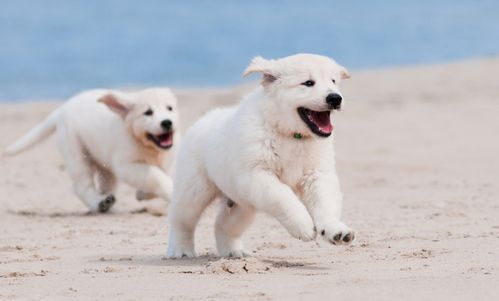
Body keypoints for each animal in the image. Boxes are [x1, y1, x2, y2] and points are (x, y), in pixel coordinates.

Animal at [3, 88, 180, 212]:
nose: (167, 122)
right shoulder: (126, 165)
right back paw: (99, 203)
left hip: (103, 163)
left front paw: (142, 194)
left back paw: (108, 204)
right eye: (148, 112)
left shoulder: (171, 158)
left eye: (170, 108)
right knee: (82, 185)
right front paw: (169, 191)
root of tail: (63, 108)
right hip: (75, 152)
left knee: (106, 184)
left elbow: (164, 174)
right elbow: (156, 175)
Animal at [169, 52, 356, 256]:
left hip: (242, 205)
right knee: (181, 220)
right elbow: (283, 196)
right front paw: (303, 226)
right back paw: (180, 250)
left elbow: (325, 202)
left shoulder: (317, 174)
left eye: (333, 81)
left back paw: (233, 252)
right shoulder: (256, 174)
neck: (291, 136)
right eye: (308, 83)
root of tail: (203, 120)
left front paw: (336, 230)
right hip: (194, 189)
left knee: (223, 224)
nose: (335, 98)